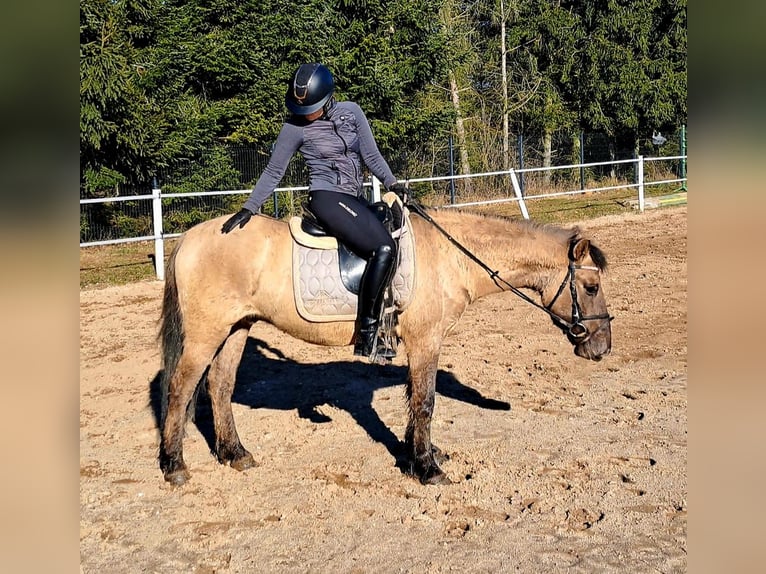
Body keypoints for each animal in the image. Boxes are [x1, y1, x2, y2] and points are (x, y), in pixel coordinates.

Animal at [158, 204, 612, 486]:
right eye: (591, 287)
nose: (602, 346)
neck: (448, 256)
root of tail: (189, 238)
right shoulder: (426, 339)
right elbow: (426, 400)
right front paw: (427, 469)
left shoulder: (419, 343)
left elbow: (413, 398)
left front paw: (418, 455)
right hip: (205, 334)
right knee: (180, 390)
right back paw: (174, 465)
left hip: (237, 328)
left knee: (219, 388)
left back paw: (235, 453)